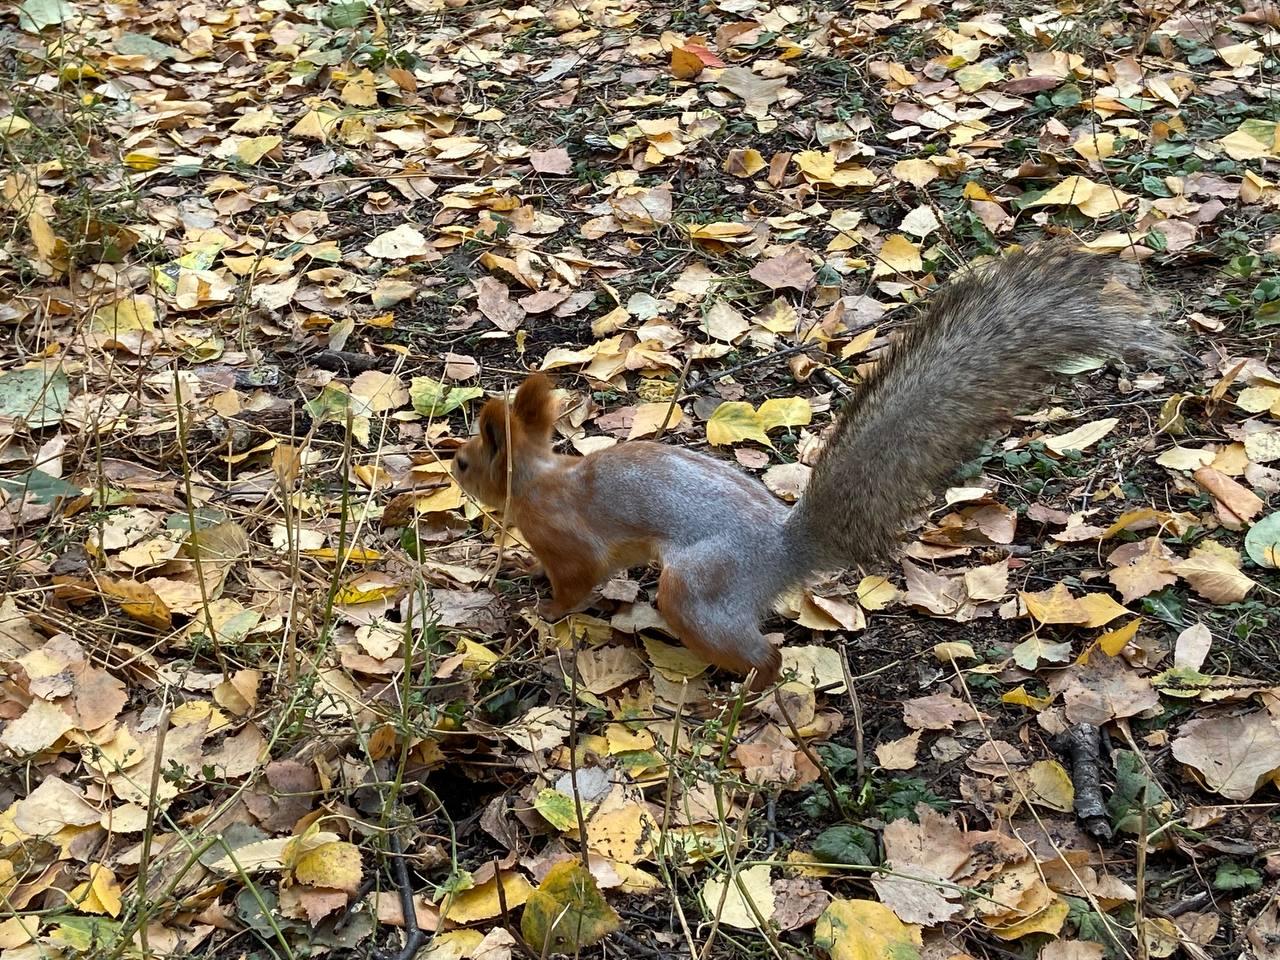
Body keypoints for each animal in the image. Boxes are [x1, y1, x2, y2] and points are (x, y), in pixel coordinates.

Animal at [450, 240, 1172, 691]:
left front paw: (543, 613)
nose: (449, 467)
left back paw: (744, 696)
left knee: (760, 652)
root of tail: (782, 553)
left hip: (698, 587)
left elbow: (577, 582)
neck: (542, 480)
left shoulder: (567, 541)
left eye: (463, 459)